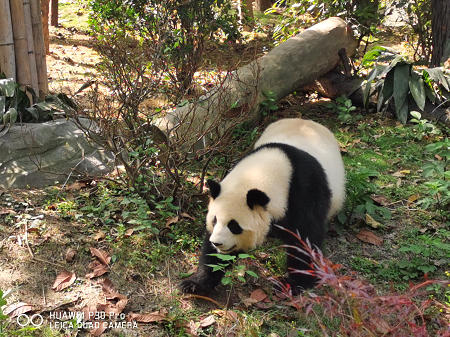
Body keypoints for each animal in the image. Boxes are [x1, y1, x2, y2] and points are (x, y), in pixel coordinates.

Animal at [179, 118, 344, 294]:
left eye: (234, 225)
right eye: (214, 220)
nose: (217, 243)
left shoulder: (304, 192)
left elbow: (305, 237)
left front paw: (293, 283)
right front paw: (195, 283)